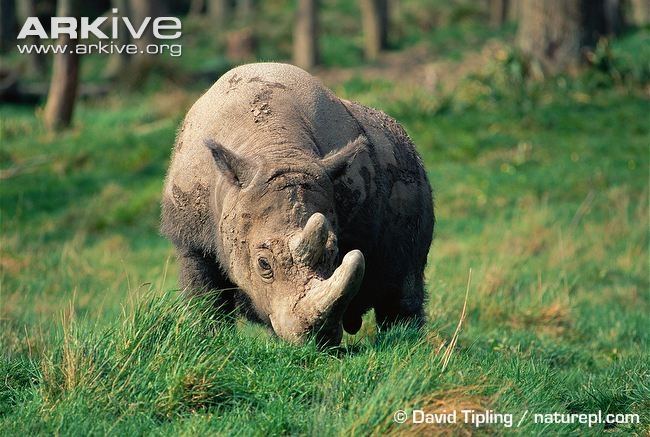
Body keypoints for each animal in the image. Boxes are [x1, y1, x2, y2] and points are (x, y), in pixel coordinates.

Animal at [159, 63, 432, 346]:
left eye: (334, 254)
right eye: (263, 264)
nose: (317, 338)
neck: (275, 147)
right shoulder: (190, 238)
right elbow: (206, 298)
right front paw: (209, 338)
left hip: (412, 177)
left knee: (403, 287)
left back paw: (406, 340)